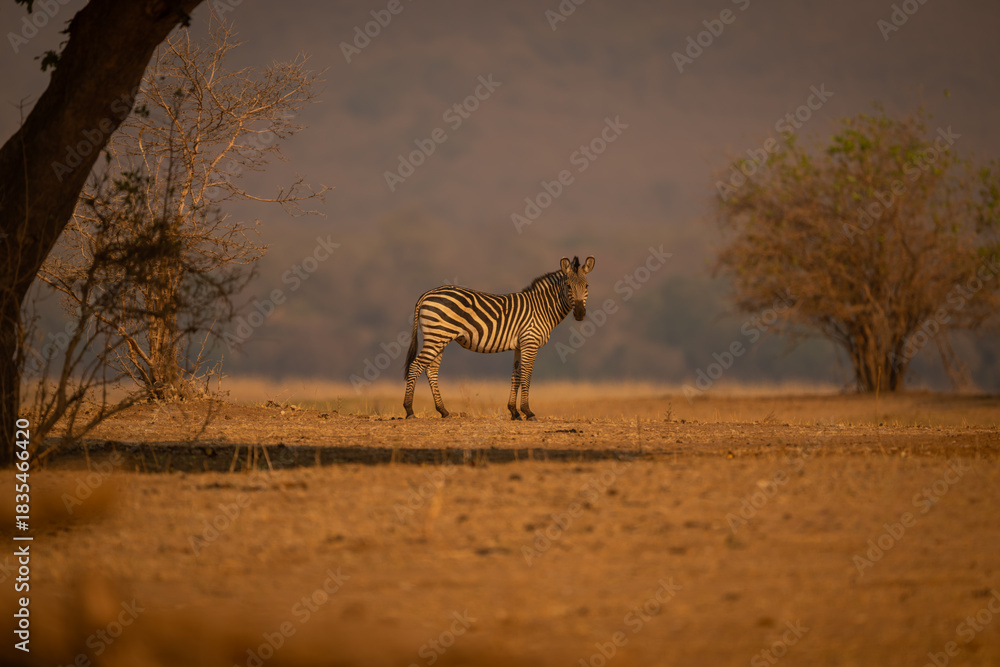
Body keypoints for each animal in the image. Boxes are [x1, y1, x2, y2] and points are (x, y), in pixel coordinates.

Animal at [403, 255, 595, 421]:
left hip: (439, 338)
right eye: (568, 287)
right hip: (437, 336)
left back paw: (443, 411)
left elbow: (516, 375)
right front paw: (528, 411)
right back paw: (409, 410)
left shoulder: (519, 345)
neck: (542, 308)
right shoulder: (530, 342)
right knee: (416, 366)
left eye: (587, 286)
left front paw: (514, 412)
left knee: (431, 369)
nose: (580, 313)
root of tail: (428, 294)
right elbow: (527, 375)